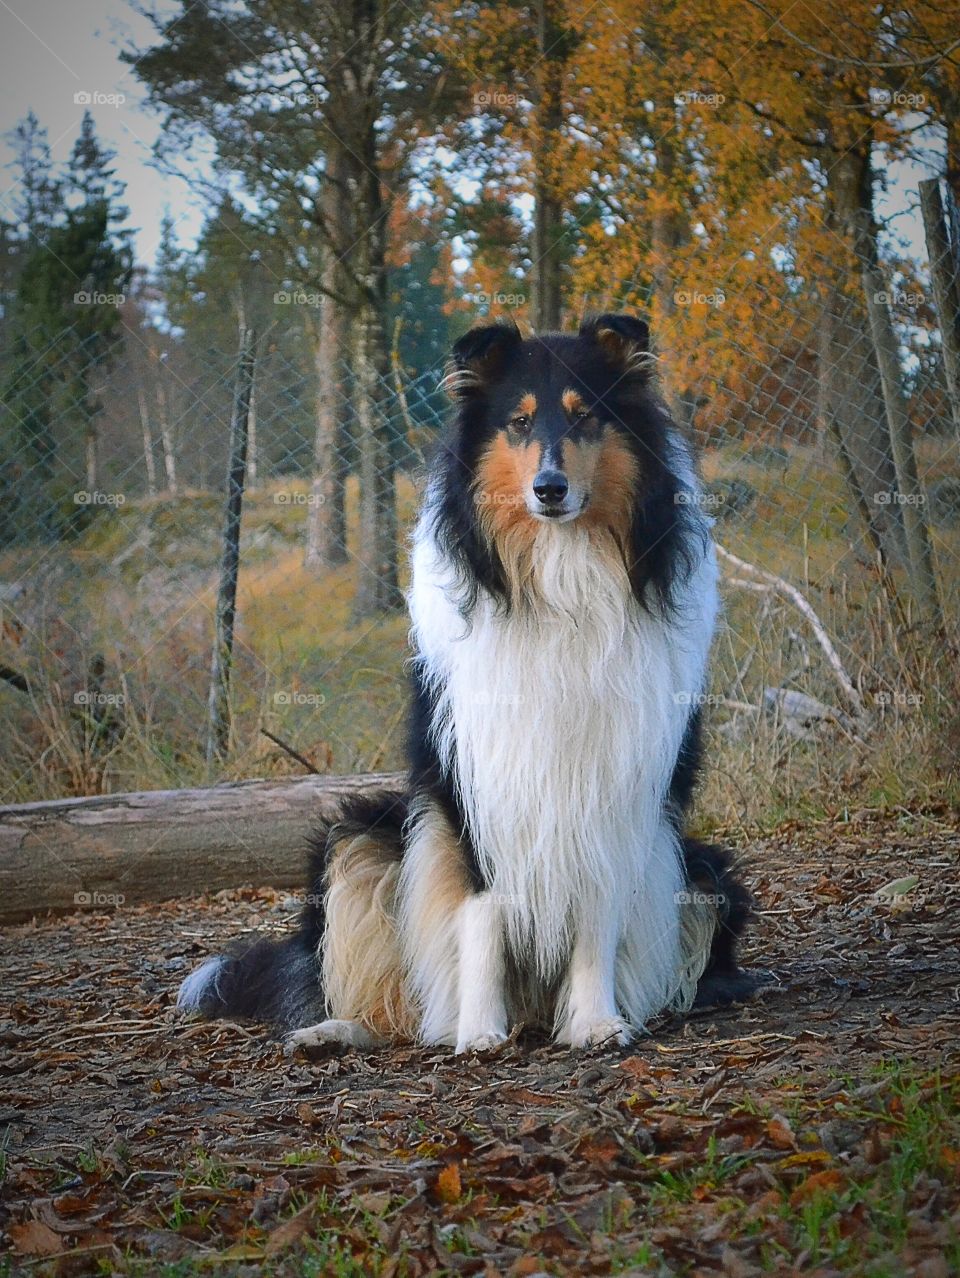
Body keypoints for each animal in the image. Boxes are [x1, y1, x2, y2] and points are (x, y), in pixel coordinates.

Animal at [180, 314, 761, 1053]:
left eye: (586, 417)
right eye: (518, 421)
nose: (550, 489)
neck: (559, 581)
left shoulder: (616, 789)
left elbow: (598, 912)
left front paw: (595, 1022)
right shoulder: (473, 781)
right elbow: (482, 911)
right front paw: (480, 1032)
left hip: (706, 874)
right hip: (360, 837)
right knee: (385, 1002)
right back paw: (336, 1030)